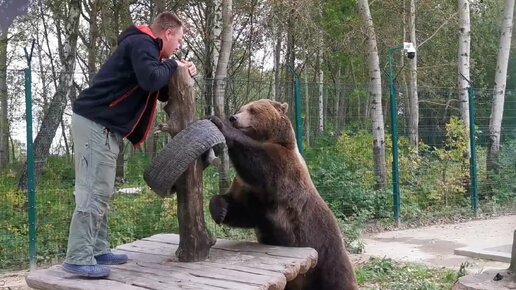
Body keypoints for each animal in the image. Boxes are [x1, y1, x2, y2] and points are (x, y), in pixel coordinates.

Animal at [208, 99, 356, 290]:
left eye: (253, 110)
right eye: (241, 108)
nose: (234, 118)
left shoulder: (284, 172)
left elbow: (263, 163)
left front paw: (220, 123)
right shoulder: (251, 193)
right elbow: (243, 209)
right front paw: (220, 210)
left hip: (326, 255)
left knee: (337, 277)